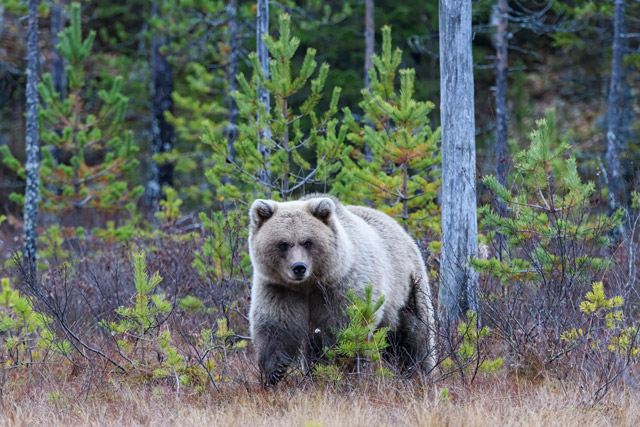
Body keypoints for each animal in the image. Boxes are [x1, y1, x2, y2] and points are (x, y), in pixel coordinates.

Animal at [248, 194, 436, 385]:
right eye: (283, 243)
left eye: (307, 242)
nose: (299, 267)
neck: (310, 284)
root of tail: (401, 230)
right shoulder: (279, 288)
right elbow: (276, 324)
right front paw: (274, 370)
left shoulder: (343, 287)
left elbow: (345, 327)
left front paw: (343, 367)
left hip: (409, 288)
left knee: (414, 336)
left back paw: (419, 372)